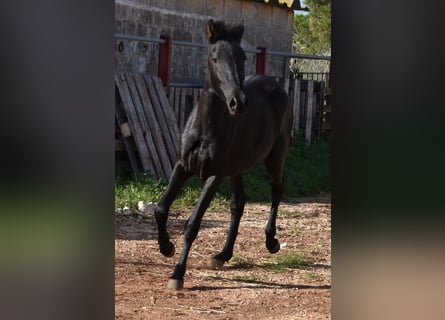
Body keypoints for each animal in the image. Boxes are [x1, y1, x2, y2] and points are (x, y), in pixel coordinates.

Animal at [154, 20, 294, 290]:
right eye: (214, 57)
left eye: (242, 57)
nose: (238, 103)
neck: (206, 127)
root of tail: (277, 87)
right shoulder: (183, 165)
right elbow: (161, 208)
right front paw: (166, 248)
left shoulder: (214, 174)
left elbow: (192, 224)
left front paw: (177, 274)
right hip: (236, 168)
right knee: (238, 204)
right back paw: (223, 255)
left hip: (275, 157)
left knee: (277, 189)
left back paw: (271, 242)